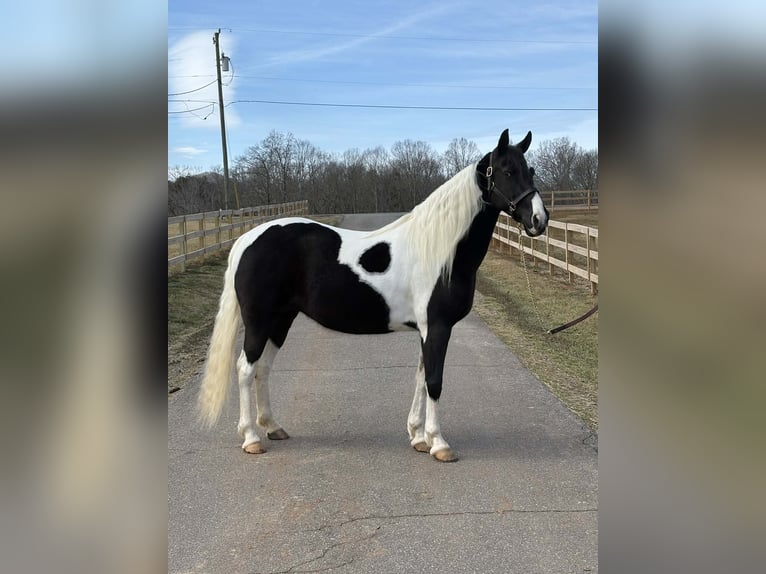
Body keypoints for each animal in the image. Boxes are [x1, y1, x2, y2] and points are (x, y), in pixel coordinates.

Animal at [198, 129, 549, 462]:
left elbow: (421, 377)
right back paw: (251, 438)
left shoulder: (427, 330)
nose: (539, 220)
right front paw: (439, 444)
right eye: (507, 170)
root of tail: (247, 240)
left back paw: (272, 427)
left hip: (280, 320)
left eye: (530, 169)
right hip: (259, 322)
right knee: (245, 369)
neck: (440, 250)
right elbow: (434, 381)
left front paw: (418, 437)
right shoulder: (437, 327)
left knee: (263, 369)